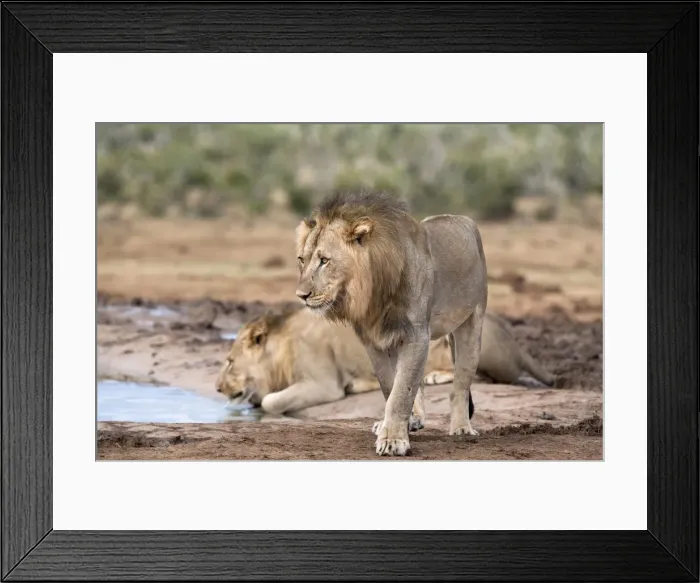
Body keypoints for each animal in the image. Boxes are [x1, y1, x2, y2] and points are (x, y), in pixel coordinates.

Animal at [294, 190, 488, 456]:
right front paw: (396, 428)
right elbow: (392, 386)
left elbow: (401, 391)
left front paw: (393, 440)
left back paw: (461, 428)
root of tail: (462, 219)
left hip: (471, 322)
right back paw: (414, 420)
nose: (301, 295)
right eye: (301, 260)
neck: (372, 293)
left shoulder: (416, 335)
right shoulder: (373, 340)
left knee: (460, 383)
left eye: (324, 260)